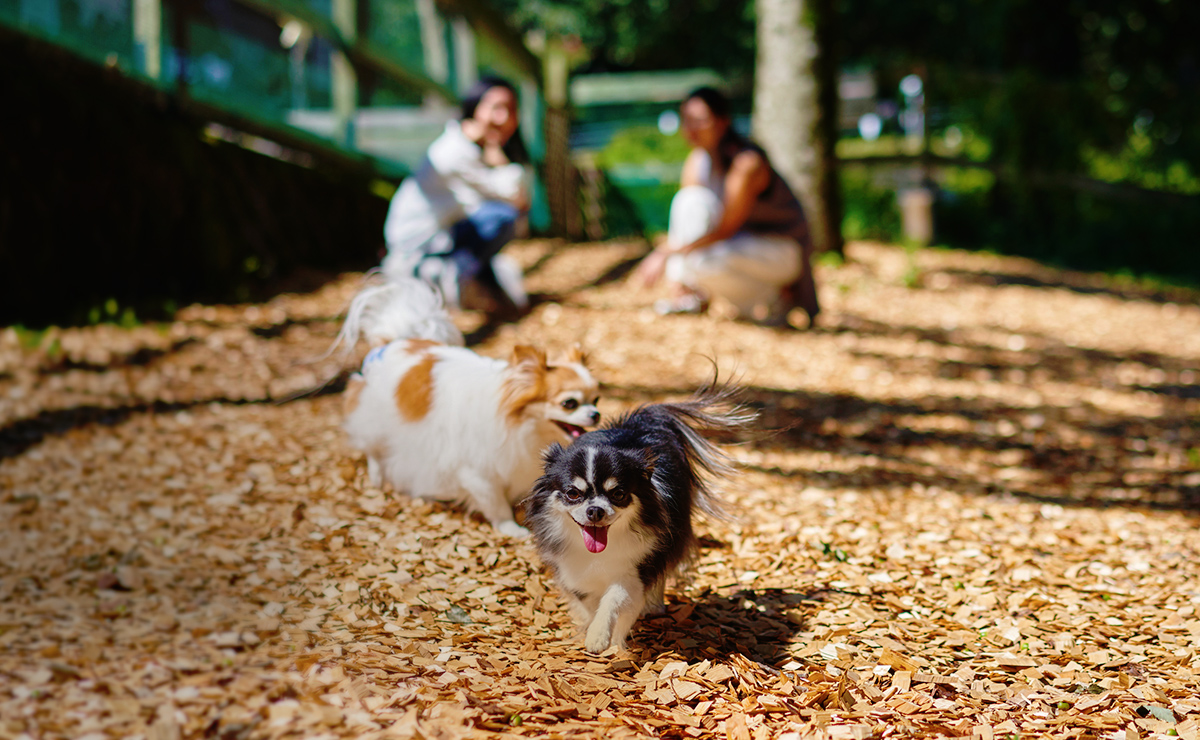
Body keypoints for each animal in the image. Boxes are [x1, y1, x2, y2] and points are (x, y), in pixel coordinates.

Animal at [338, 279, 600, 534]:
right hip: (376, 421)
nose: (596, 414)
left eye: (596, 399)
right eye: (569, 404)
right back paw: (377, 479)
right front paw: (511, 528)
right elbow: (495, 502)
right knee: (373, 449)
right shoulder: (477, 472)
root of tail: (393, 341)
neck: (521, 425)